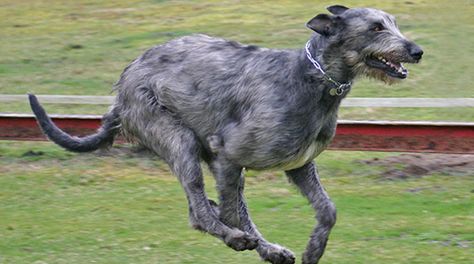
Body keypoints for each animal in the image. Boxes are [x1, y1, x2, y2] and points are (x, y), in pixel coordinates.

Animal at [29, 4, 422, 264]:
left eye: (394, 23)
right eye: (376, 27)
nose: (417, 51)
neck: (311, 78)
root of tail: (120, 92)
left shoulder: (299, 165)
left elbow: (328, 210)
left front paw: (314, 249)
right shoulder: (229, 155)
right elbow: (236, 212)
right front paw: (251, 240)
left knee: (200, 209)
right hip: (177, 138)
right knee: (201, 211)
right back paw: (240, 239)